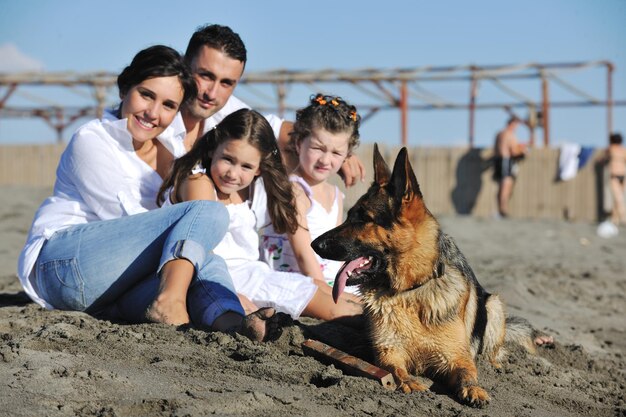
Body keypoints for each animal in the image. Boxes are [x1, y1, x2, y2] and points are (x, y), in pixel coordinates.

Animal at [312, 144, 536, 406]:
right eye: (348, 216)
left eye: (364, 219)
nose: (314, 244)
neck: (409, 291)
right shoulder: (389, 351)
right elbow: (395, 369)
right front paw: (408, 382)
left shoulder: (456, 357)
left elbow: (467, 372)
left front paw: (474, 388)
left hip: (494, 305)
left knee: (492, 348)